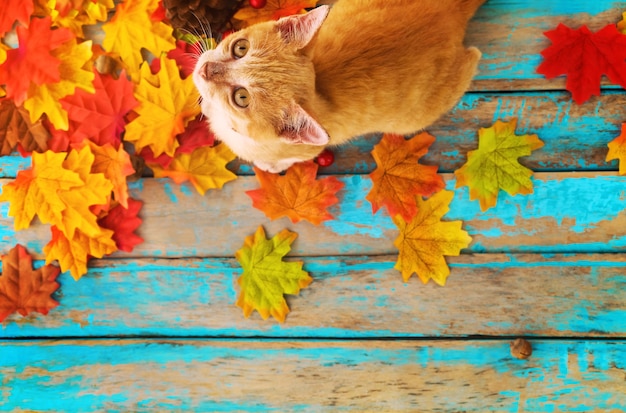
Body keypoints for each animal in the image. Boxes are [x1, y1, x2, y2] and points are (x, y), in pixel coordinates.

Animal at [193, 0, 486, 171]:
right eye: (240, 48)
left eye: (241, 98)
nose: (206, 70)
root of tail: (448, 12)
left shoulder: (308, 149)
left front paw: (271, 165)